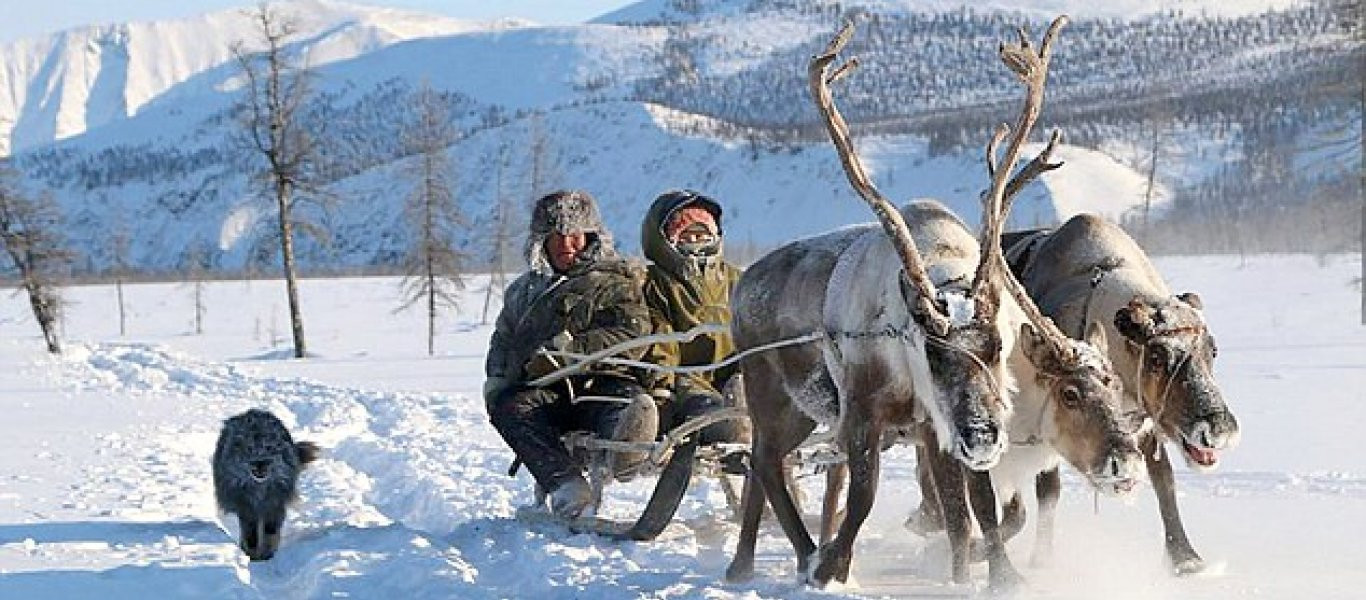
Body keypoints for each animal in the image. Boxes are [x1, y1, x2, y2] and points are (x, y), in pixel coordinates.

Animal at [210, 410, 319, 560]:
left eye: (269, 448)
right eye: (249, 449)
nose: (260, 463)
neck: (259, 490)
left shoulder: (274, 505)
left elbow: (270, 533)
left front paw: (267, 554)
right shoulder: (246, 507)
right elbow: (250, 535)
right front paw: (252, 554)